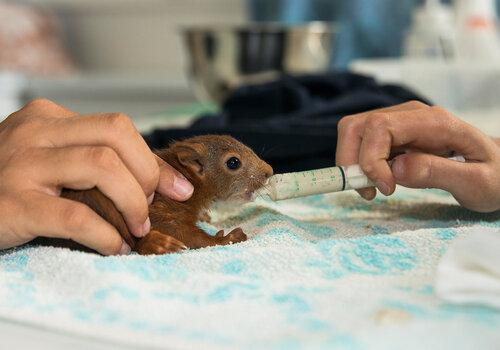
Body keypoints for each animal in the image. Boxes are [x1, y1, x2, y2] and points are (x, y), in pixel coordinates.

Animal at [62, 135, 276, 254]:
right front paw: (224, 239)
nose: (269, 171)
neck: (190, 179)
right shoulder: (162, 203)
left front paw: (208, 218)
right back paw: (157, 244)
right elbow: (178, 230)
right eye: (233, 162)